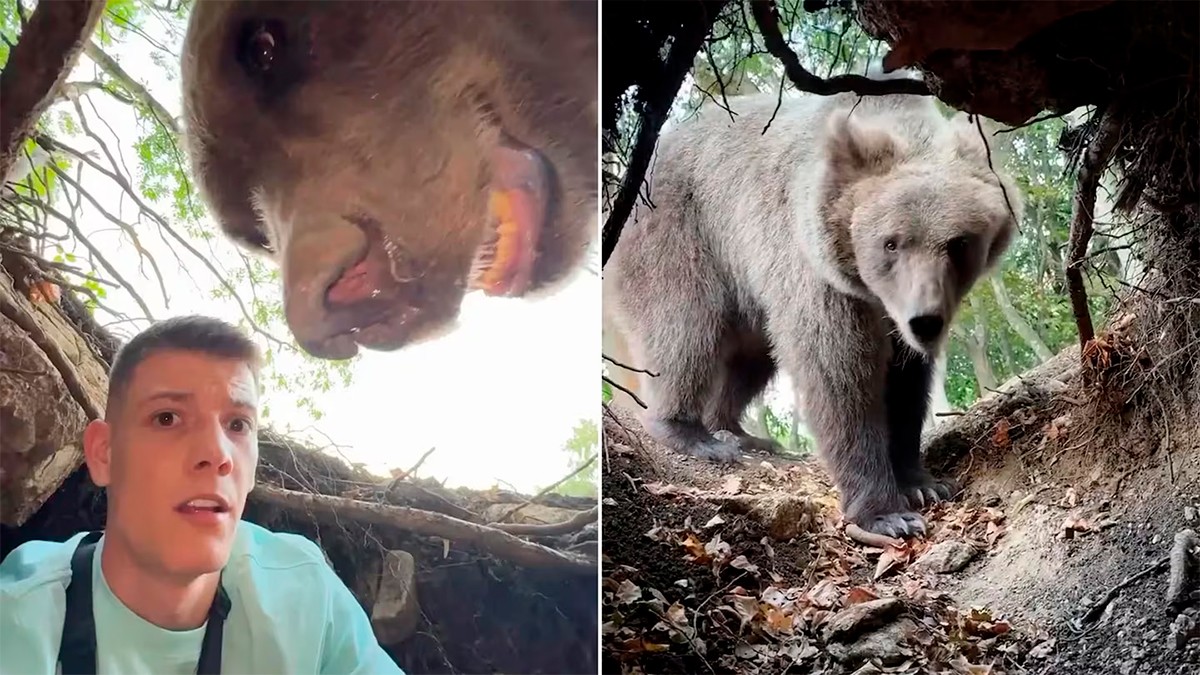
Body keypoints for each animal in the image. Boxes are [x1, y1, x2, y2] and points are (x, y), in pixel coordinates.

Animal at [603, 87, 1022, 539]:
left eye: (959, 243)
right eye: (891, 242)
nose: (925, 321)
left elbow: (906, 384)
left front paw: (922, 482)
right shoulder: (811, 269)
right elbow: (838, 375)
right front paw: (887, 514)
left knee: (749, 359)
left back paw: (740, 433)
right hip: (682, 233)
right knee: (686, 330)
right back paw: (693, 434)